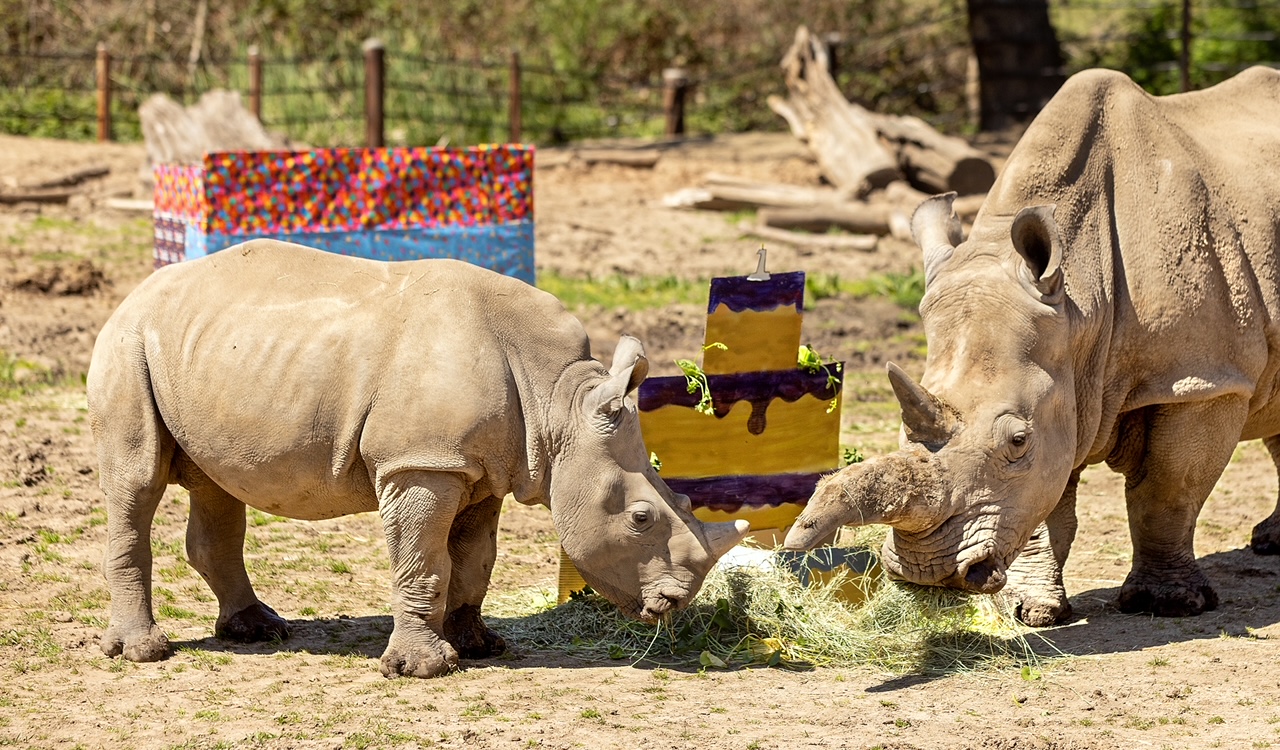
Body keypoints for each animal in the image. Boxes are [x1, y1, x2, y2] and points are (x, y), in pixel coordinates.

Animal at [88, 240, 749, 677]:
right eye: (641, 518)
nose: (675, 603)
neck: (559, 400)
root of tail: (134, 293)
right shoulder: (421, 463)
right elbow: (423, 558)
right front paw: (421, 668)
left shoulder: (479, 469)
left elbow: (475, 560)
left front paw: (479, 645)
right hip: (127, 343)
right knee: (137, 481)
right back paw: (144, 653)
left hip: (203, 353)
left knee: (217, 483)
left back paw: (258, 631)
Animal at [786, 66, 1280, 626]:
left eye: (1016, 440)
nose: (925, 573)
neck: (1083, 304)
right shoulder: (1060, 383)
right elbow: (1046, 503)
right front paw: (1030, 609)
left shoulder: (1201, 379)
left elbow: (1167, 490)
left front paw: (1166, 605)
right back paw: (1271, 542)